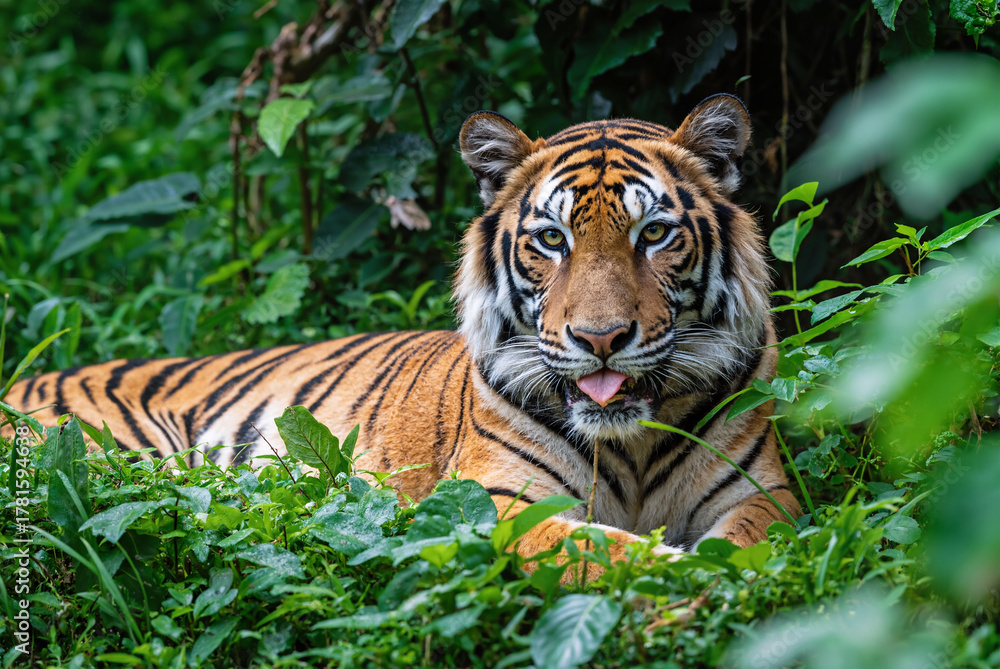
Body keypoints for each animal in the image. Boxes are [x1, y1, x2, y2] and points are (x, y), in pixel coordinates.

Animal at [5, 93, 800, 565]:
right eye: (551, 240)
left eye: (654, 233)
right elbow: (605, 552)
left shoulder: (762, 494)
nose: (601, 339)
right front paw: (686, 582)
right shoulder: (500, 501)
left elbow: (754, 543)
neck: (628, 447)